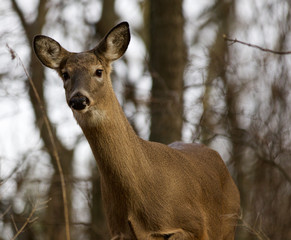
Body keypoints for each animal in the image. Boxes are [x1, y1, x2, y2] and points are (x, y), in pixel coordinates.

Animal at [33, 21, 240, 239]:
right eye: (65, 74)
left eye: (98, 71)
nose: (79, 100)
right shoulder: (118, 230)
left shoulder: (195, 226)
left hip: (228, 227)